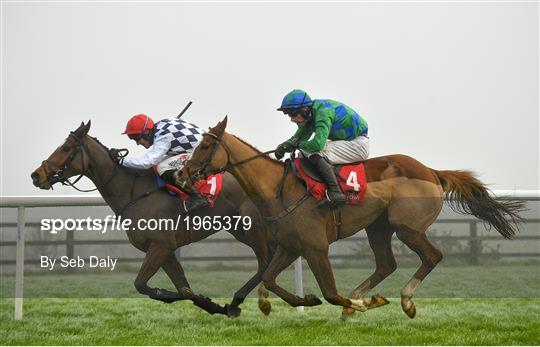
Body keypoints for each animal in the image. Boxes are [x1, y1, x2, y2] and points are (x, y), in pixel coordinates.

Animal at [29, 122, 274, 318]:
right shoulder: (163, 249)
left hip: (253, 228)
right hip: (241, 229)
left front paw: (169, 295)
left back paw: (237, 301)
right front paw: (211, 304)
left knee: (265, 264)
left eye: (65, 148)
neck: (134, 192)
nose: (36, 175)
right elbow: (184, 289)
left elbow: (142, 285)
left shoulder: (161, 245)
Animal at [176, 117, 524, 320]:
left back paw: (401, 301)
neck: (278, 189)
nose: (182, 173)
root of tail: (431, 171)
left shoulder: (316, 248)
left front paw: (357, 303)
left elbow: (329, 293)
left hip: (406, 227)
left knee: (432, 256)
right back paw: (359, 300)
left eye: (204, 145)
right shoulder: (290, 247)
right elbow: (269, 279)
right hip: (378, 227)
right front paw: (295, 301)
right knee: (386, 264)